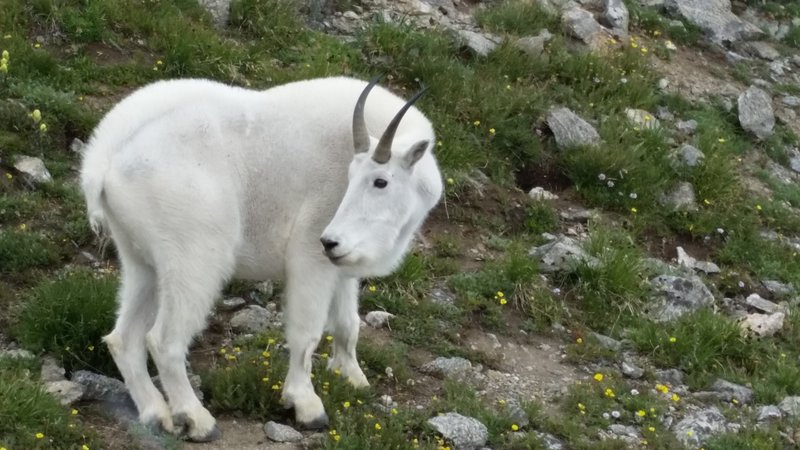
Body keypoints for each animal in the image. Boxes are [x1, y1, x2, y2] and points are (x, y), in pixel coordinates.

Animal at [79, 75, 444, 442]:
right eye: (351, 178)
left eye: (380, 181)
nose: (329, 240)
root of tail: (103, 159)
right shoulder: (310, 256)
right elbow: (306, 333)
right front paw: (306, 405)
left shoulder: (341, 265)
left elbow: (347, 324)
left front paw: (353, 377)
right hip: (193, 258)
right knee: (163, 340)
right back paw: (197, 419)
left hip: (140, 261)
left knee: (123, 338)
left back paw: (156, 414)